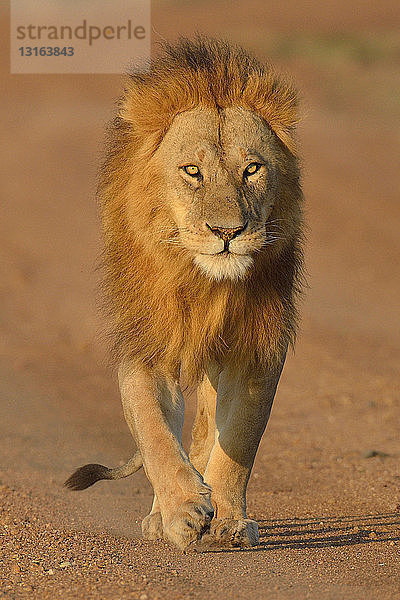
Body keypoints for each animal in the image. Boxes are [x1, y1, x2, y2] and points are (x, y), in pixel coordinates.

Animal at [65, 37, 304, 552]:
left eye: (252, 169)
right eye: (192, 171)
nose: (228, 232)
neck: (204, 284)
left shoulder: (256, 352)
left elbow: (238, 440)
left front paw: (229, 519)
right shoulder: (146, 345)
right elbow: (156, 433)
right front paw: (182, 510)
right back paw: (164, 513)